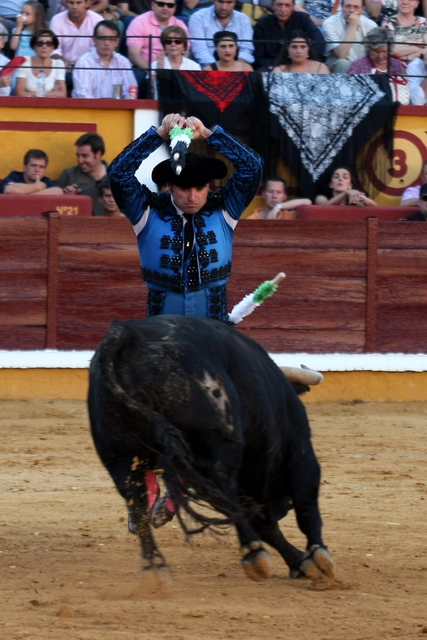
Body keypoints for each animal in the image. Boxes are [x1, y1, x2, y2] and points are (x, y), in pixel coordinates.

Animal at [88, 316, 336, 584]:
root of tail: (127, 335)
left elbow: (264, 523)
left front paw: (299, 562)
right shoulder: (300, 452)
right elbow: (305, 505)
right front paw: (317, 558)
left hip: (120, 455)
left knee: (136, 500)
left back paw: (154, 568)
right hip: (216, 437)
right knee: (223, 484)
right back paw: (252, 552)